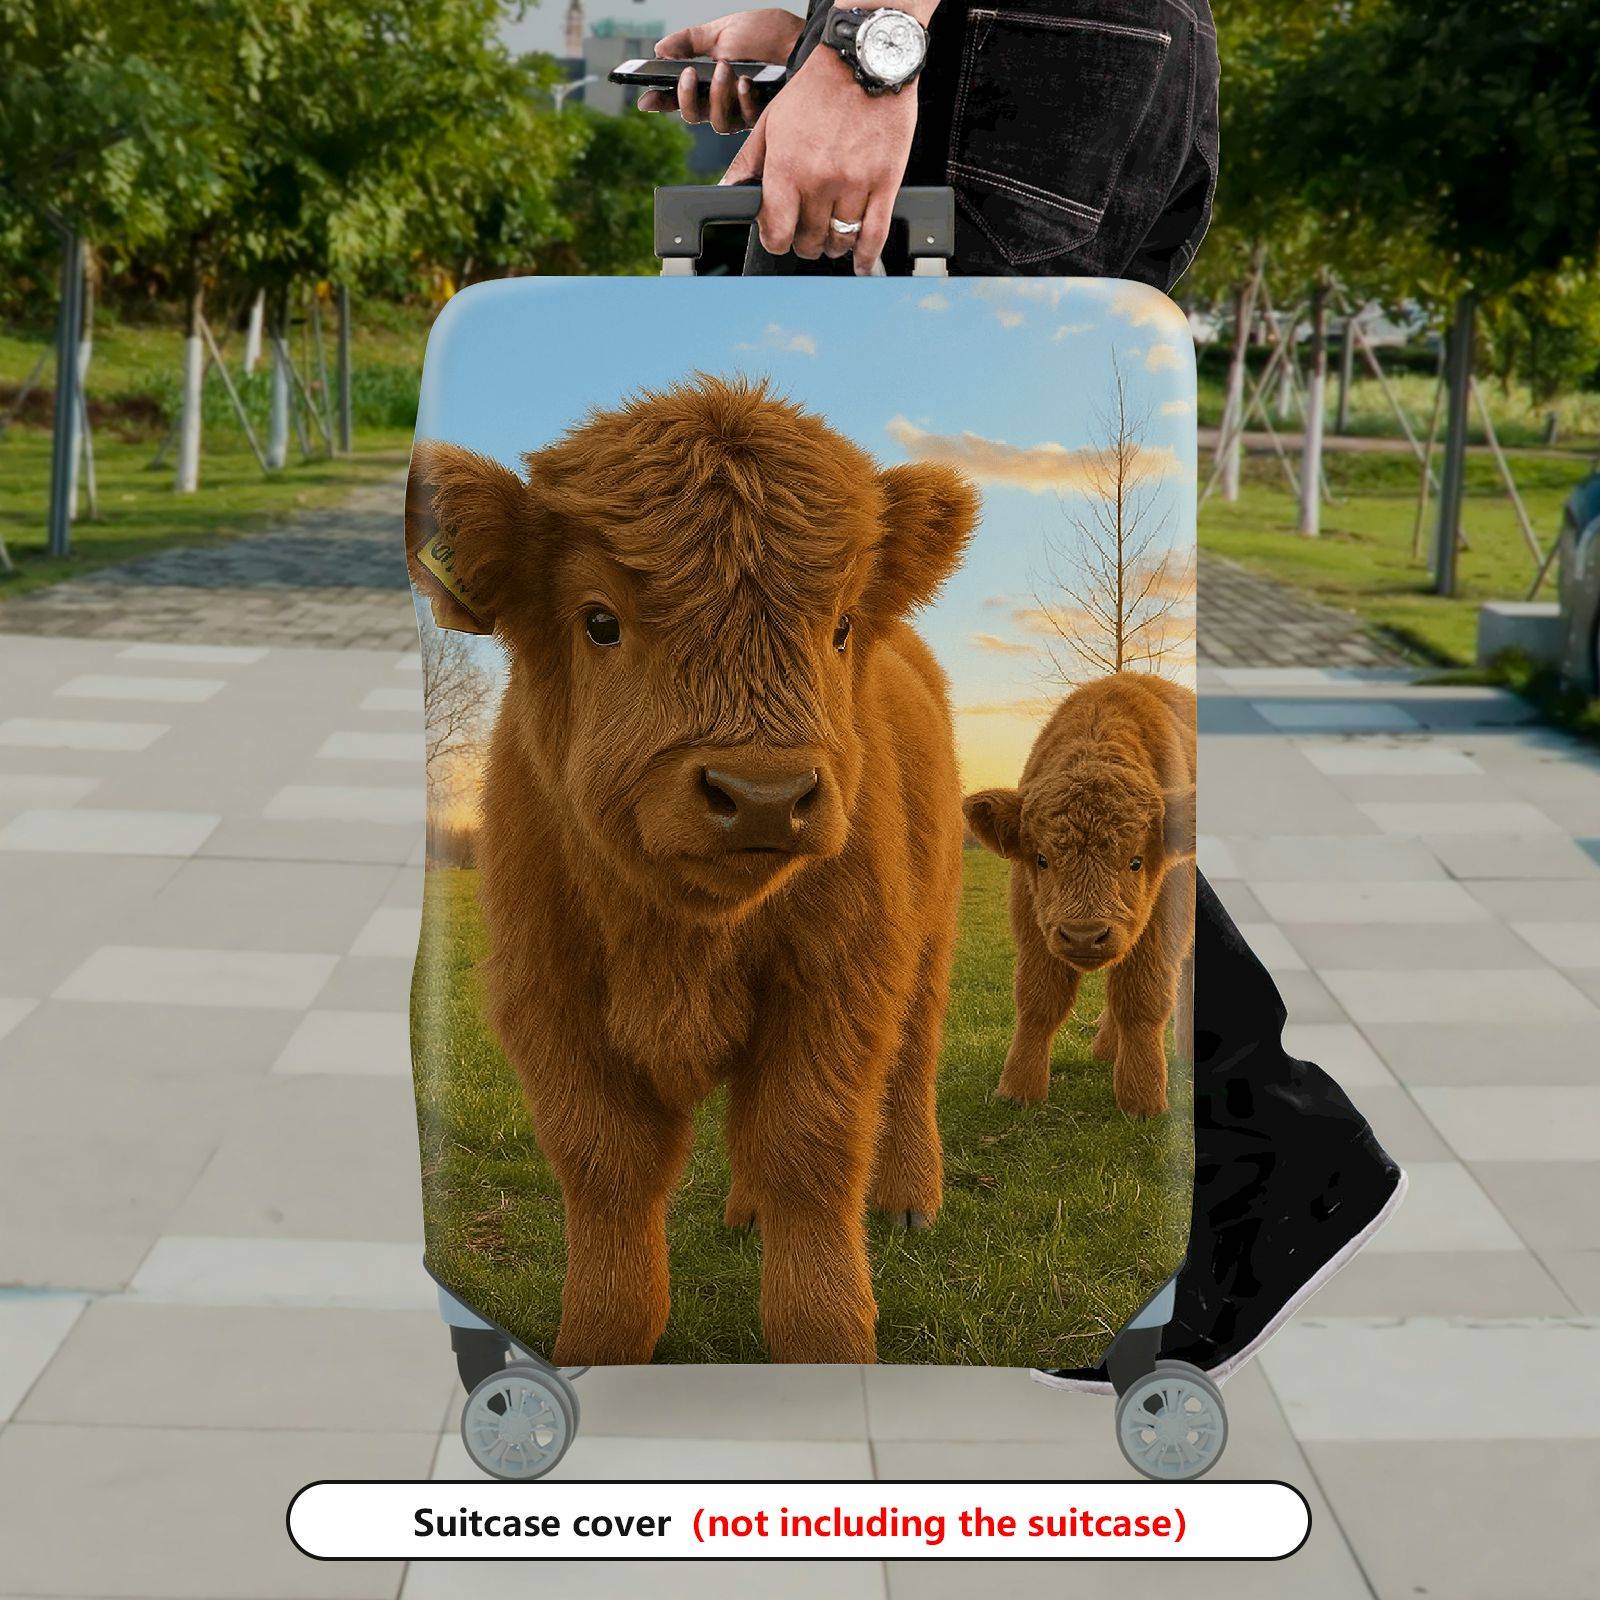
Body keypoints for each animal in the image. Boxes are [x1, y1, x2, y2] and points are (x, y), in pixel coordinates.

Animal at [405, 376, 979, 1365]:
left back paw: (909, 1199)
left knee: (911, 1061)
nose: (763, 795)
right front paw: (595, 1348)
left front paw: (834, 1348)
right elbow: (609, 1177)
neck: (684, 938)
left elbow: (810, 1154)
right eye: (599, 622)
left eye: (839, 625)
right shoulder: (548, 997)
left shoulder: (841, 978)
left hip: (930, 930)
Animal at [962, 673, 1196, 1118]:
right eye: (1042, 859)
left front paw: (1142, 1100)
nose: (1085, 935)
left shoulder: (1162, 928)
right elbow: (1038, 999)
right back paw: (1106, 1050)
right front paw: (1018, 1090)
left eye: (1136, 861)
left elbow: (1142, 999)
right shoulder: (1035, 926)